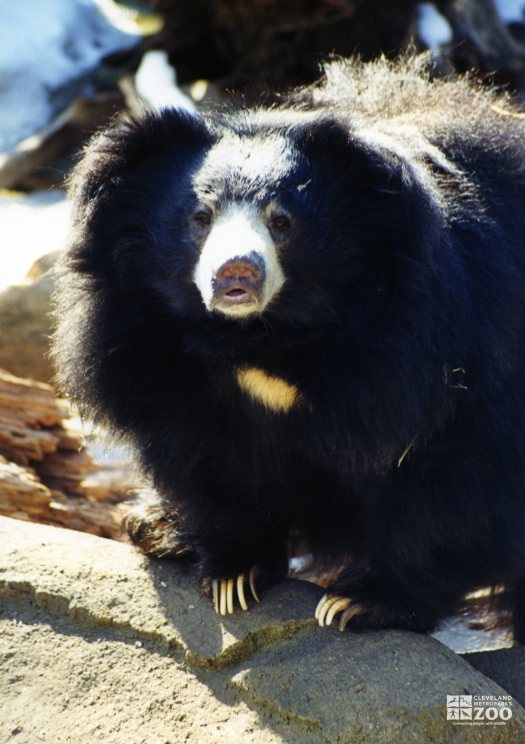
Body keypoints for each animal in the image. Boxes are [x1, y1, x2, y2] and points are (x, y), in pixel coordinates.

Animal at [54, 56, 524, 640]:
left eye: (282, 221)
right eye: (200, 217)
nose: (236, 273)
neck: (263, 340)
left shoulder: (438, 348)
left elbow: (453, 474)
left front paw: (358, 601)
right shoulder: (151, 351)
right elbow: (201, 450)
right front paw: (233, 574)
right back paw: (155, 526)